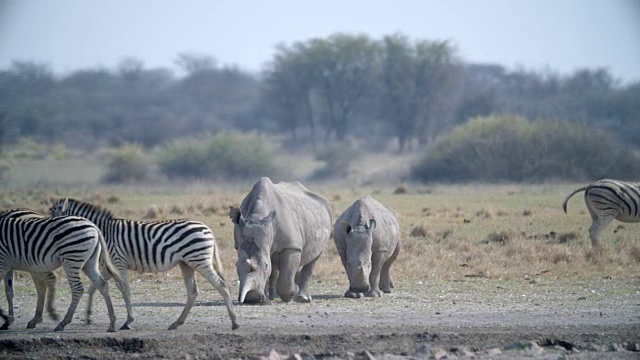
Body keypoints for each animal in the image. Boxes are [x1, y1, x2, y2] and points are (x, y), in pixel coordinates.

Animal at [0, 214, 130, 332]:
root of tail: (94, 227)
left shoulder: (2, 263)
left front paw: (6, 318)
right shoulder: (8, 266)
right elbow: (9, 292)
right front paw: (8, 320)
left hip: (72, 258)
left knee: (77, 288)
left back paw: (63, 323)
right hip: (89, 262)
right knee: (102, 284)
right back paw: (112, 323)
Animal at [50, 198, 240, 330]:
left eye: (52, 216)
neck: (103, 231)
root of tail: (207, 228)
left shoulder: (118, 263)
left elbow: (124, 289)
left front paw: (128, 322)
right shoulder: (110, 267)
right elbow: (93, 287)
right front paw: (88, 316)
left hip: (199, 260)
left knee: (221, 285)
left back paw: (234, 322)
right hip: (186, 263)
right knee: (193, 292)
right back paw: (176, 323)